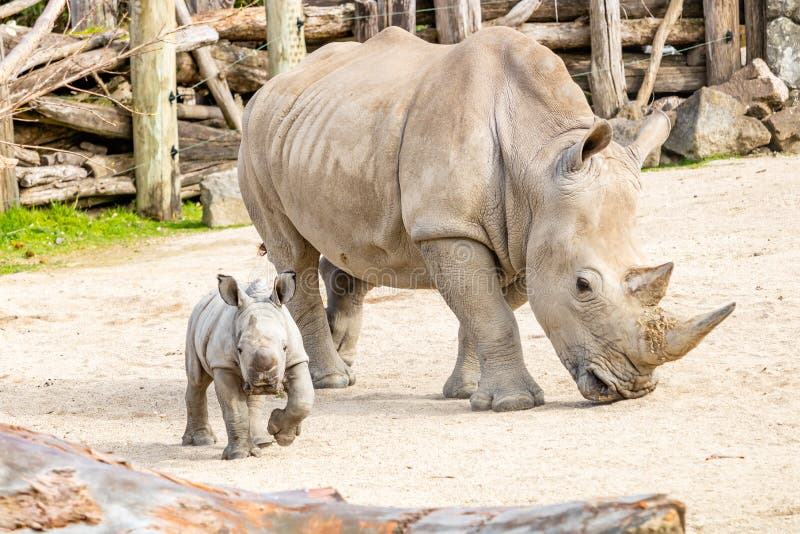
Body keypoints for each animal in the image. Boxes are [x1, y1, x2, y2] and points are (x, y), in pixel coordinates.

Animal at [183, 274, 314, 462]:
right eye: (239, 349)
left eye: (284, 347)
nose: (264, 379)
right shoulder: (223, 365)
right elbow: (234, 409)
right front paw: (238, 455)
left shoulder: (297, 359)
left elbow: (303, 400)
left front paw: (282, 435)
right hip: (194, 322)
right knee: (197, 380)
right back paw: (202, 441)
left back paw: (262, 442)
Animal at [236, 26, 732, 414]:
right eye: (583, 285)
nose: (632, 388)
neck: (541, 158)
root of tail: (269, 87)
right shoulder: (447, 226)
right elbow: (491, 314)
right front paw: (513, 403)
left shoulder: (527, 233)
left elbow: (484, 310)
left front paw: (467, 392)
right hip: (255, 138)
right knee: (291, 254)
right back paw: (333, 381)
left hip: (328, 131)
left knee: (351, 251)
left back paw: (345, 365)